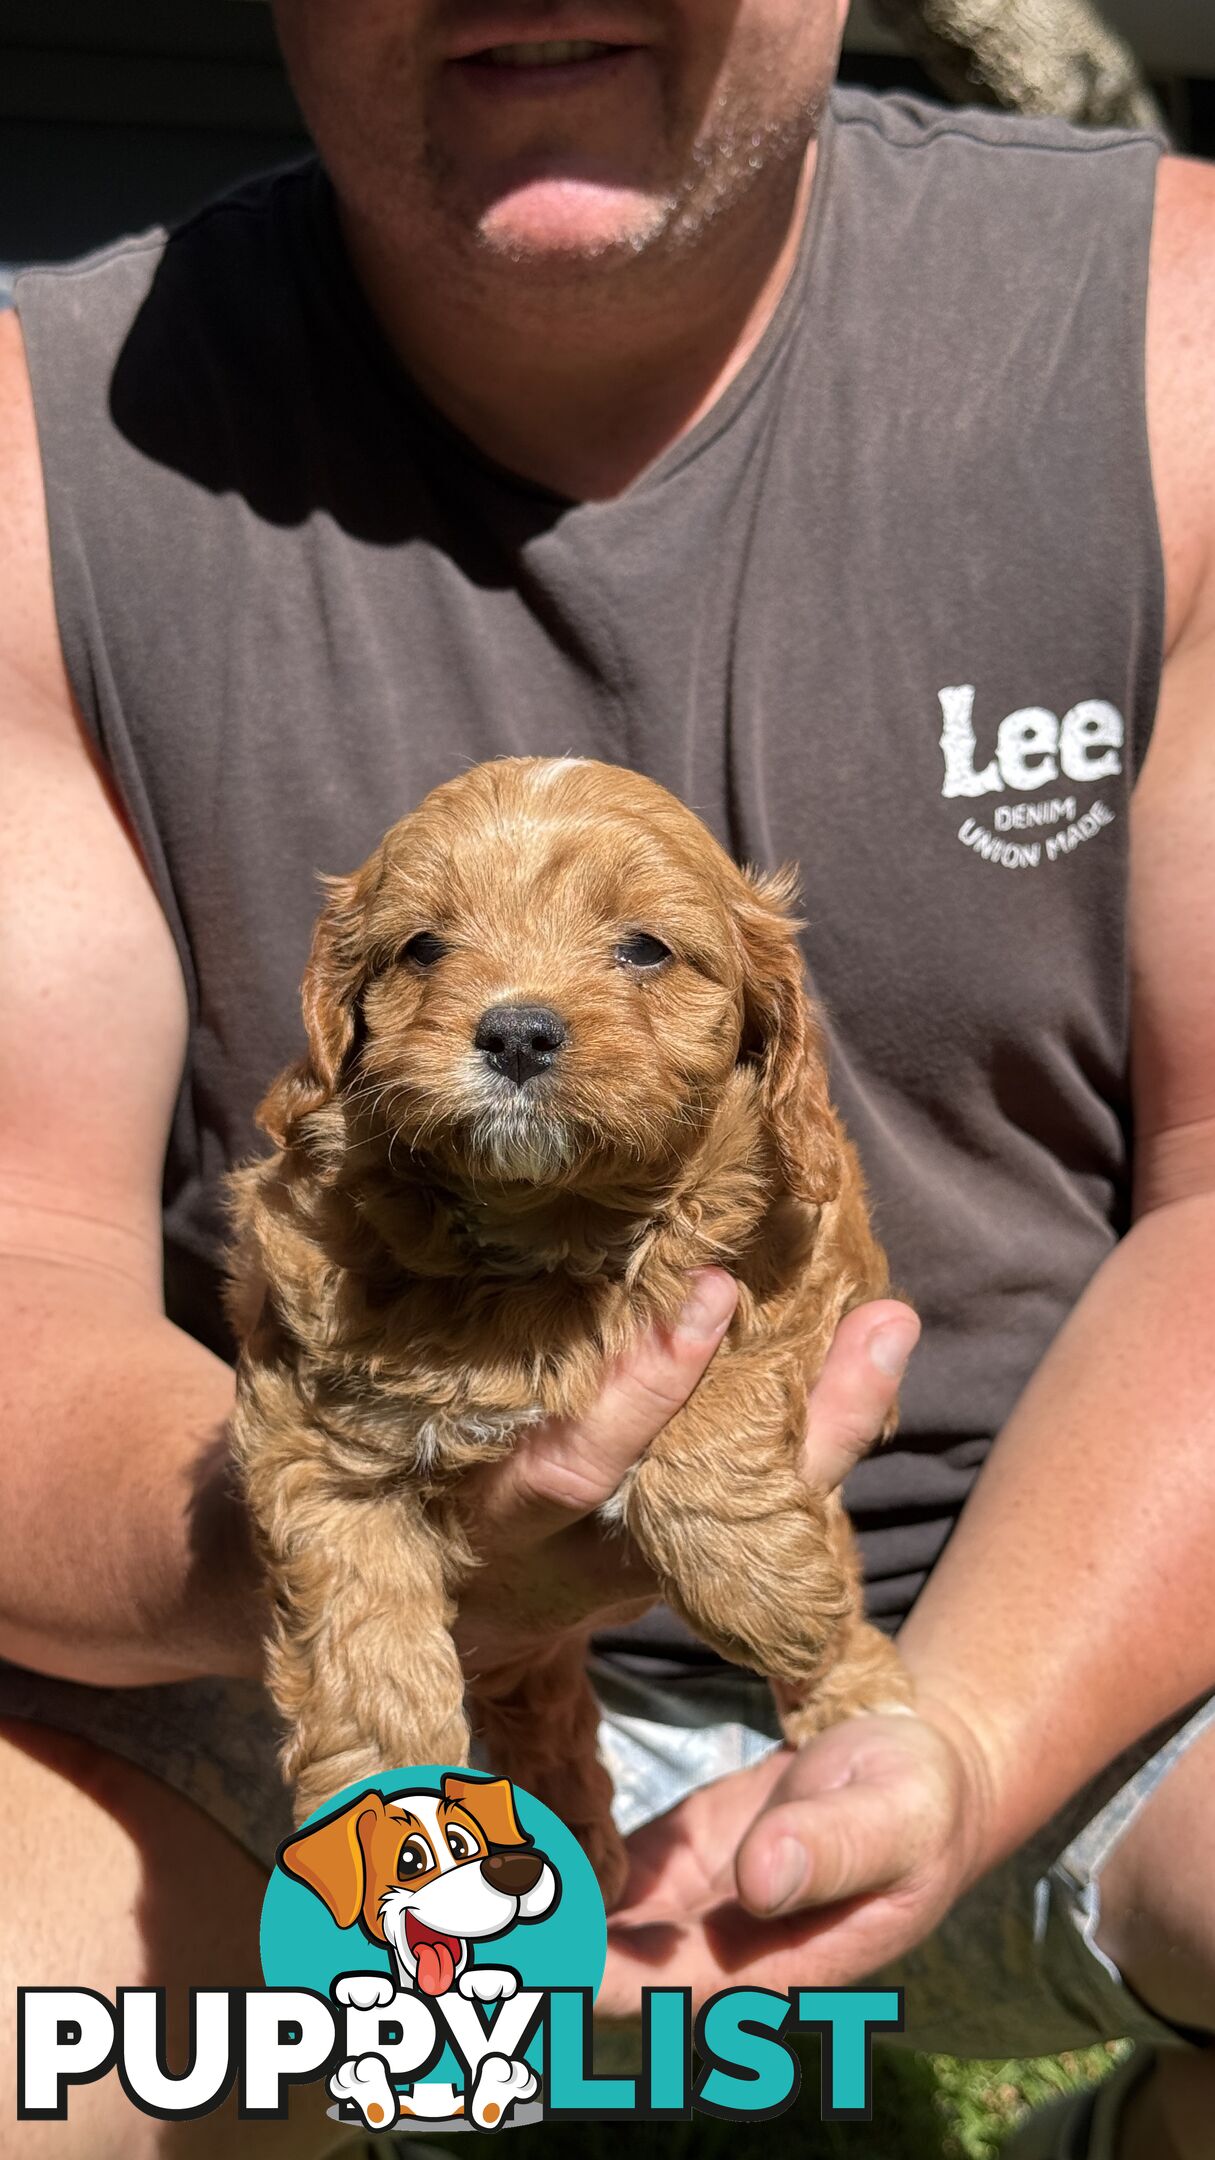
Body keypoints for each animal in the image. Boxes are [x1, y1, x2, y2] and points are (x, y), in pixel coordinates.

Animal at [227, 756, 908, 1892]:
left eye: (644, 948)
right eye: (423, 947)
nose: (514, 1031)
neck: (543, 1235)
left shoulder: (814, 1266)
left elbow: (719, 1363)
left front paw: (762, 1592)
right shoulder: (312, 1424)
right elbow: (358, 1626)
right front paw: (377, 1794)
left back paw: (850, 1687)